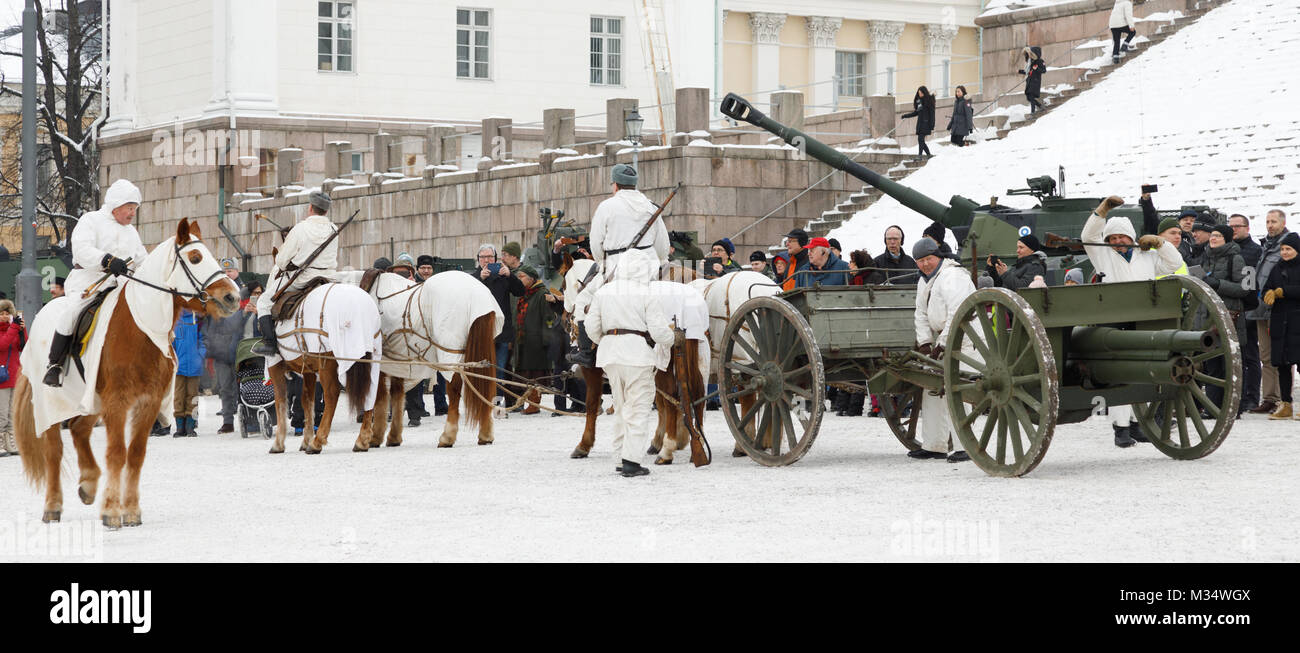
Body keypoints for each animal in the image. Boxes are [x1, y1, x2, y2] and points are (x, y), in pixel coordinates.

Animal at [13, 222, 241, 528]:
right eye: (195, 258)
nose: (232, 297)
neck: (140, 329)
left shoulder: (147, 402)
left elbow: (135, 454)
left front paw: (131, 511)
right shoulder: (117, 402)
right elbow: (117, 453)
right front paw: (111, 511)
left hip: (89, 402)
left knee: (79, 430)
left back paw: (88, 484)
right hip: (51, 404)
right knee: (54, 450)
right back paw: (53, 506)